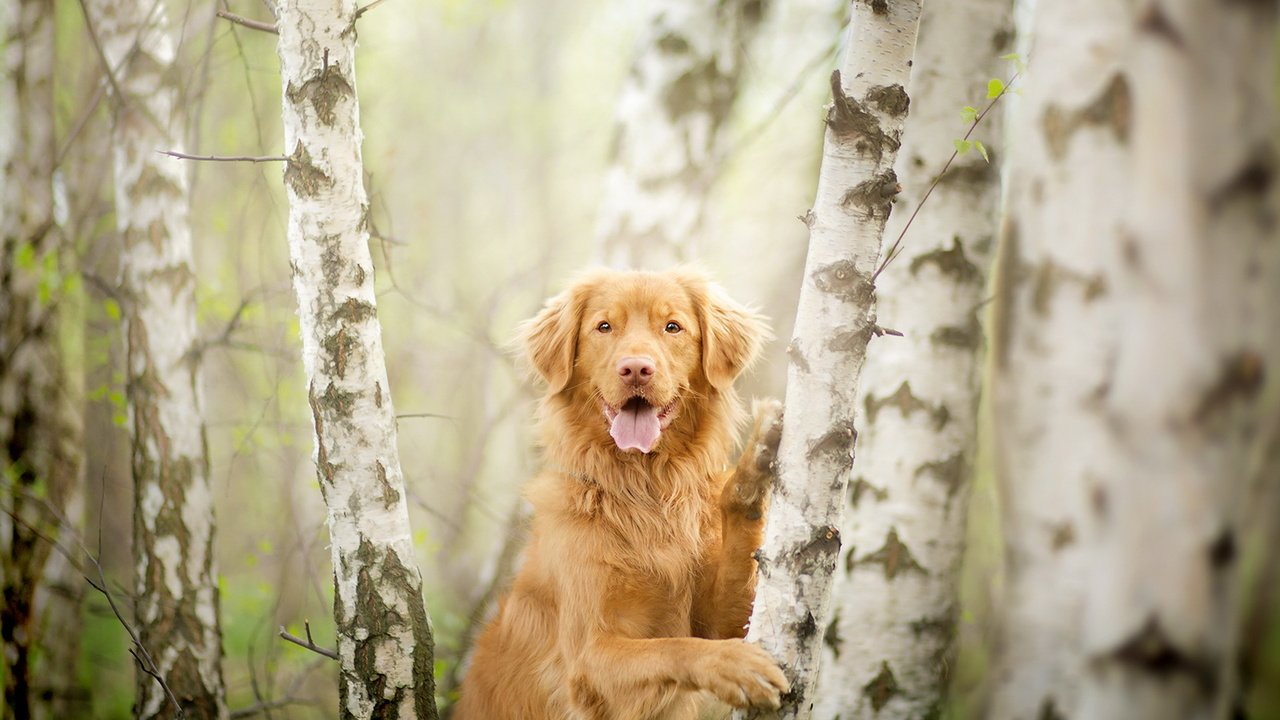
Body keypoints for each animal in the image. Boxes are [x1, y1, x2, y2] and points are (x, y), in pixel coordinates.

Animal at [455, 267, 783, 717]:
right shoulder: (589, 660)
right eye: (604, 326)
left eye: (672, 326)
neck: (645, 490)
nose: (636, 369)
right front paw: (733, 664)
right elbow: (672, 647)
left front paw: (757, 462)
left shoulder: (723, 618)